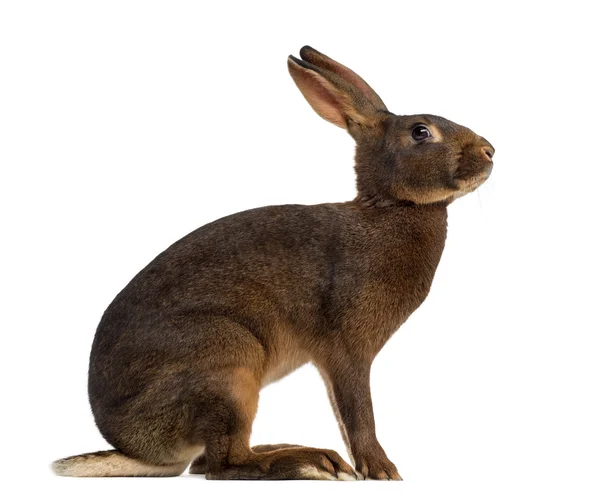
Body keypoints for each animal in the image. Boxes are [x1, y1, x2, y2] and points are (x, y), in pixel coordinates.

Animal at [51, 45, 492, 478]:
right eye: (421, 132)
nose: (490, 151)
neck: (390, 207)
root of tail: (137, 448)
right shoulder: (346, 351)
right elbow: (357, 411)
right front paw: (383, 471)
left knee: (207, 461)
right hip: (229, 364)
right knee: (224, 463)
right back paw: (307, 461)